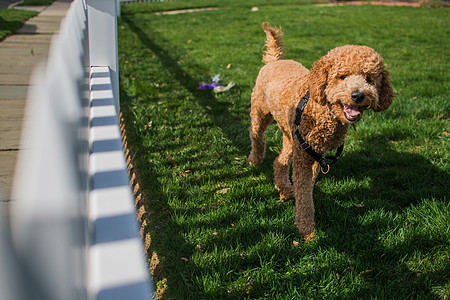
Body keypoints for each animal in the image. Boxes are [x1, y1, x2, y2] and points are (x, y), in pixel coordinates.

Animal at [246, 22, 394, 239]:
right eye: (342, 76)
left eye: (369, 79)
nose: (358, 95)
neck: (324, 110)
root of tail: (276, 60)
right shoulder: (305, 155)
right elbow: (305, 193)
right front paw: (307, 229)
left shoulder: (315, 154)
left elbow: (305, 186)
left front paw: (288, 193)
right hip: (260, 113)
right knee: (257, 137)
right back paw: (254, 160)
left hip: (291, 135)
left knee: (280, 159)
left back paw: (281, 183)